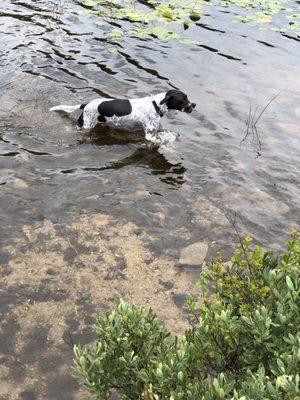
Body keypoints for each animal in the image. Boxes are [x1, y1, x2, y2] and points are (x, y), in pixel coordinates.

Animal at [50, 89, 196, 142]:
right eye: (183, 99)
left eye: (187, 97)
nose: (194, 104)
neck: (155, 105)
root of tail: (86, 104)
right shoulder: (150, 135)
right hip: (85, 126)